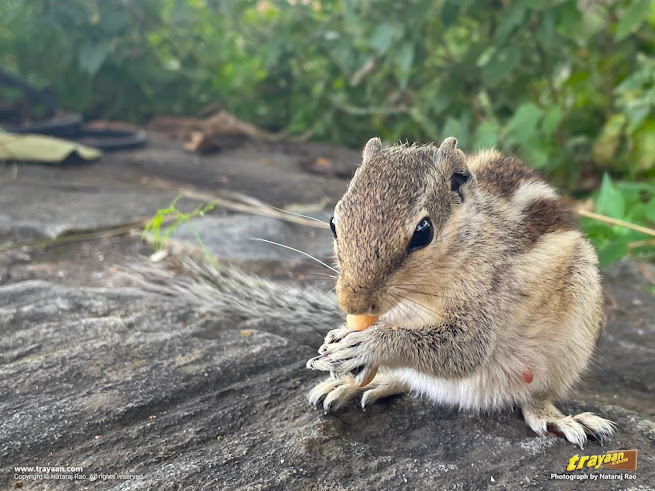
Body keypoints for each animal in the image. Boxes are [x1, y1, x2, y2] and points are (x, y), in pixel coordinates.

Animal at [306, 136, 616, 448]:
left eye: (423, 232)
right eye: (333, 223)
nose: (351, 303)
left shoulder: (488, 295)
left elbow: (466, 350)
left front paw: (366, 345)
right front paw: (337, 343)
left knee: (535, 398)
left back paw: (558, 419)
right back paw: (370, 383)